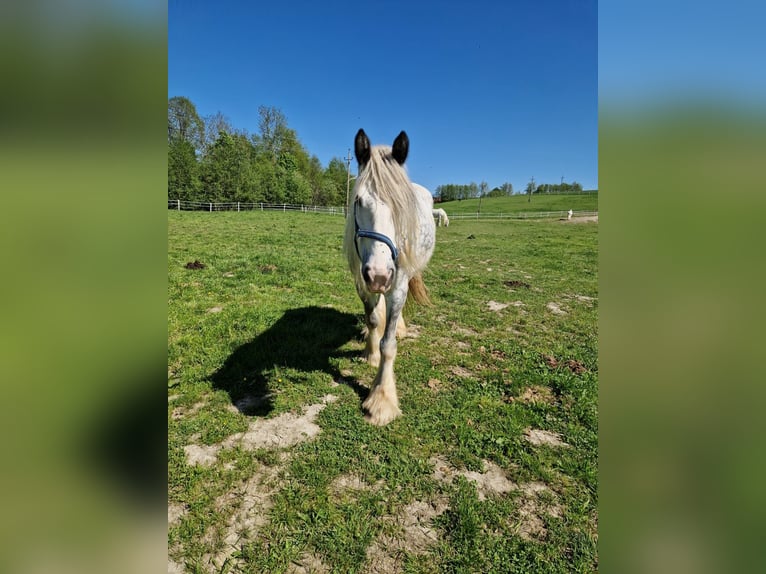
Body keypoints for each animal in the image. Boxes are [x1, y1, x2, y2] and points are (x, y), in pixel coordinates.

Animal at [343, 129, 436, 426]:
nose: (379, 275)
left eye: (401, 207)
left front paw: (381, 399)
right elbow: (373, 321)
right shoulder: (362, 282)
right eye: (358, 201)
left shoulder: (397, 283)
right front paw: (370, 353)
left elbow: (389, 344)